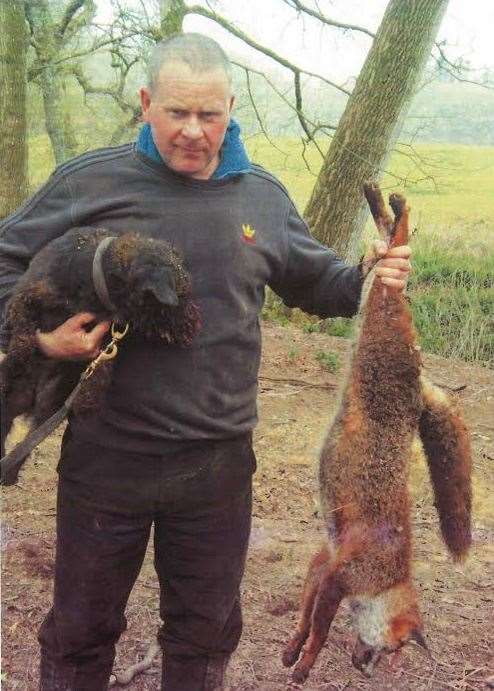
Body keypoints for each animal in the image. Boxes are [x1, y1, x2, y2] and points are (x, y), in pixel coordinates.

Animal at [0, 227, 201, 482]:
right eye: (182, 292)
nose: (194, 324)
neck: (98, 273)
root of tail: (30, 399)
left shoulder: (108, 328)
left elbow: (103, 362)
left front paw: (89, 395)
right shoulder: (32, 293)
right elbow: (22, 320)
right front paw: (20, 351)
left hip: (49, 408)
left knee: (28, 442)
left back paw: (10, 472)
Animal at [282, 182, 470, 680]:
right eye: (395, 647)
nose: (372, 670)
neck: (388, 576)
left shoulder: (323, 561)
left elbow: (304, 617)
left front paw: (291, 651)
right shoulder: (338, 578)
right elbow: (320, 629)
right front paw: (306, 663)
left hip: (376, 296)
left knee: (387, 234)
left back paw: (380, 200)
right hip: (384, 313)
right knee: (397, 232)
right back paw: (394, 202)